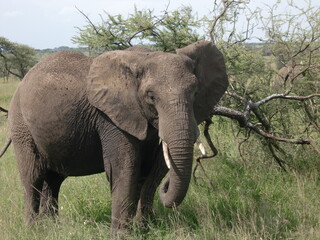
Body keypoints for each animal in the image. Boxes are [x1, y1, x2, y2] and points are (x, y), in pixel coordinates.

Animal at [7, 41, 228, 234]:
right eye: (151, 96)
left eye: (195, 93)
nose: (166, 189)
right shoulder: (111, 116)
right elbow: (125, 167)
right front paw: (122, 234)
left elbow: (153, 169)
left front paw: (144, 229)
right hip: (20, 125)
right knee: (32, 176)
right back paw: (33, 229)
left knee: (54, 179)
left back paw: (52, 228)